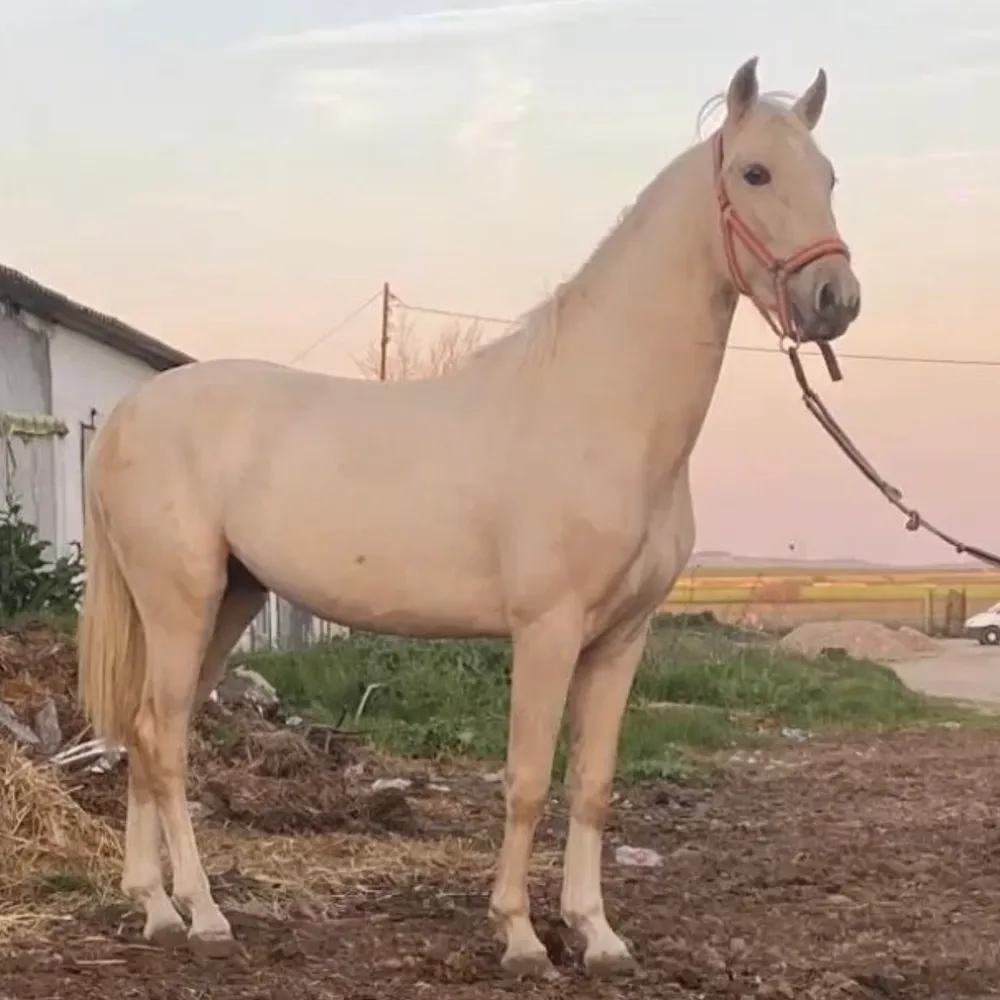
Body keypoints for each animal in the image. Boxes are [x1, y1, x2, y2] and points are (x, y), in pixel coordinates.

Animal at [77, 56, 861, 979]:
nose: (835, 298)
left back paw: (153, 905)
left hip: (224, 604)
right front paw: (519, 935)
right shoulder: (547, 630)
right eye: (755, 173)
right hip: (182, 601)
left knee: (146, 732)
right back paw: (201, 916)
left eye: (830, 177)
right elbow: (525, 780)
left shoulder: (621, 639)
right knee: (163, 740)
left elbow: (593, 785)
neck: (602, 407)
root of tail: (129, 413)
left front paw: (596, 935)